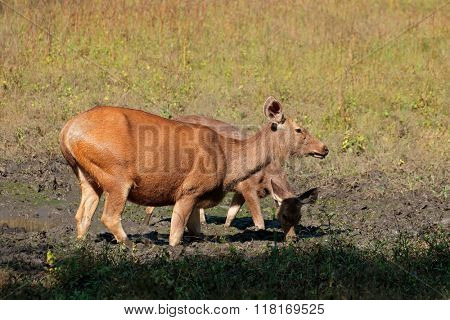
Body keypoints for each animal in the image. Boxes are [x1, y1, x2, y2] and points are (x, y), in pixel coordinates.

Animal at [144, 114, 326, 232]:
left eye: (299, 217)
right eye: (284, 216)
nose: (324, 148)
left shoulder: (239, 190)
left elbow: (231, 214)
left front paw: (225, 227)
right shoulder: (247, 187)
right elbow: (259, 221)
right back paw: (147, 222)